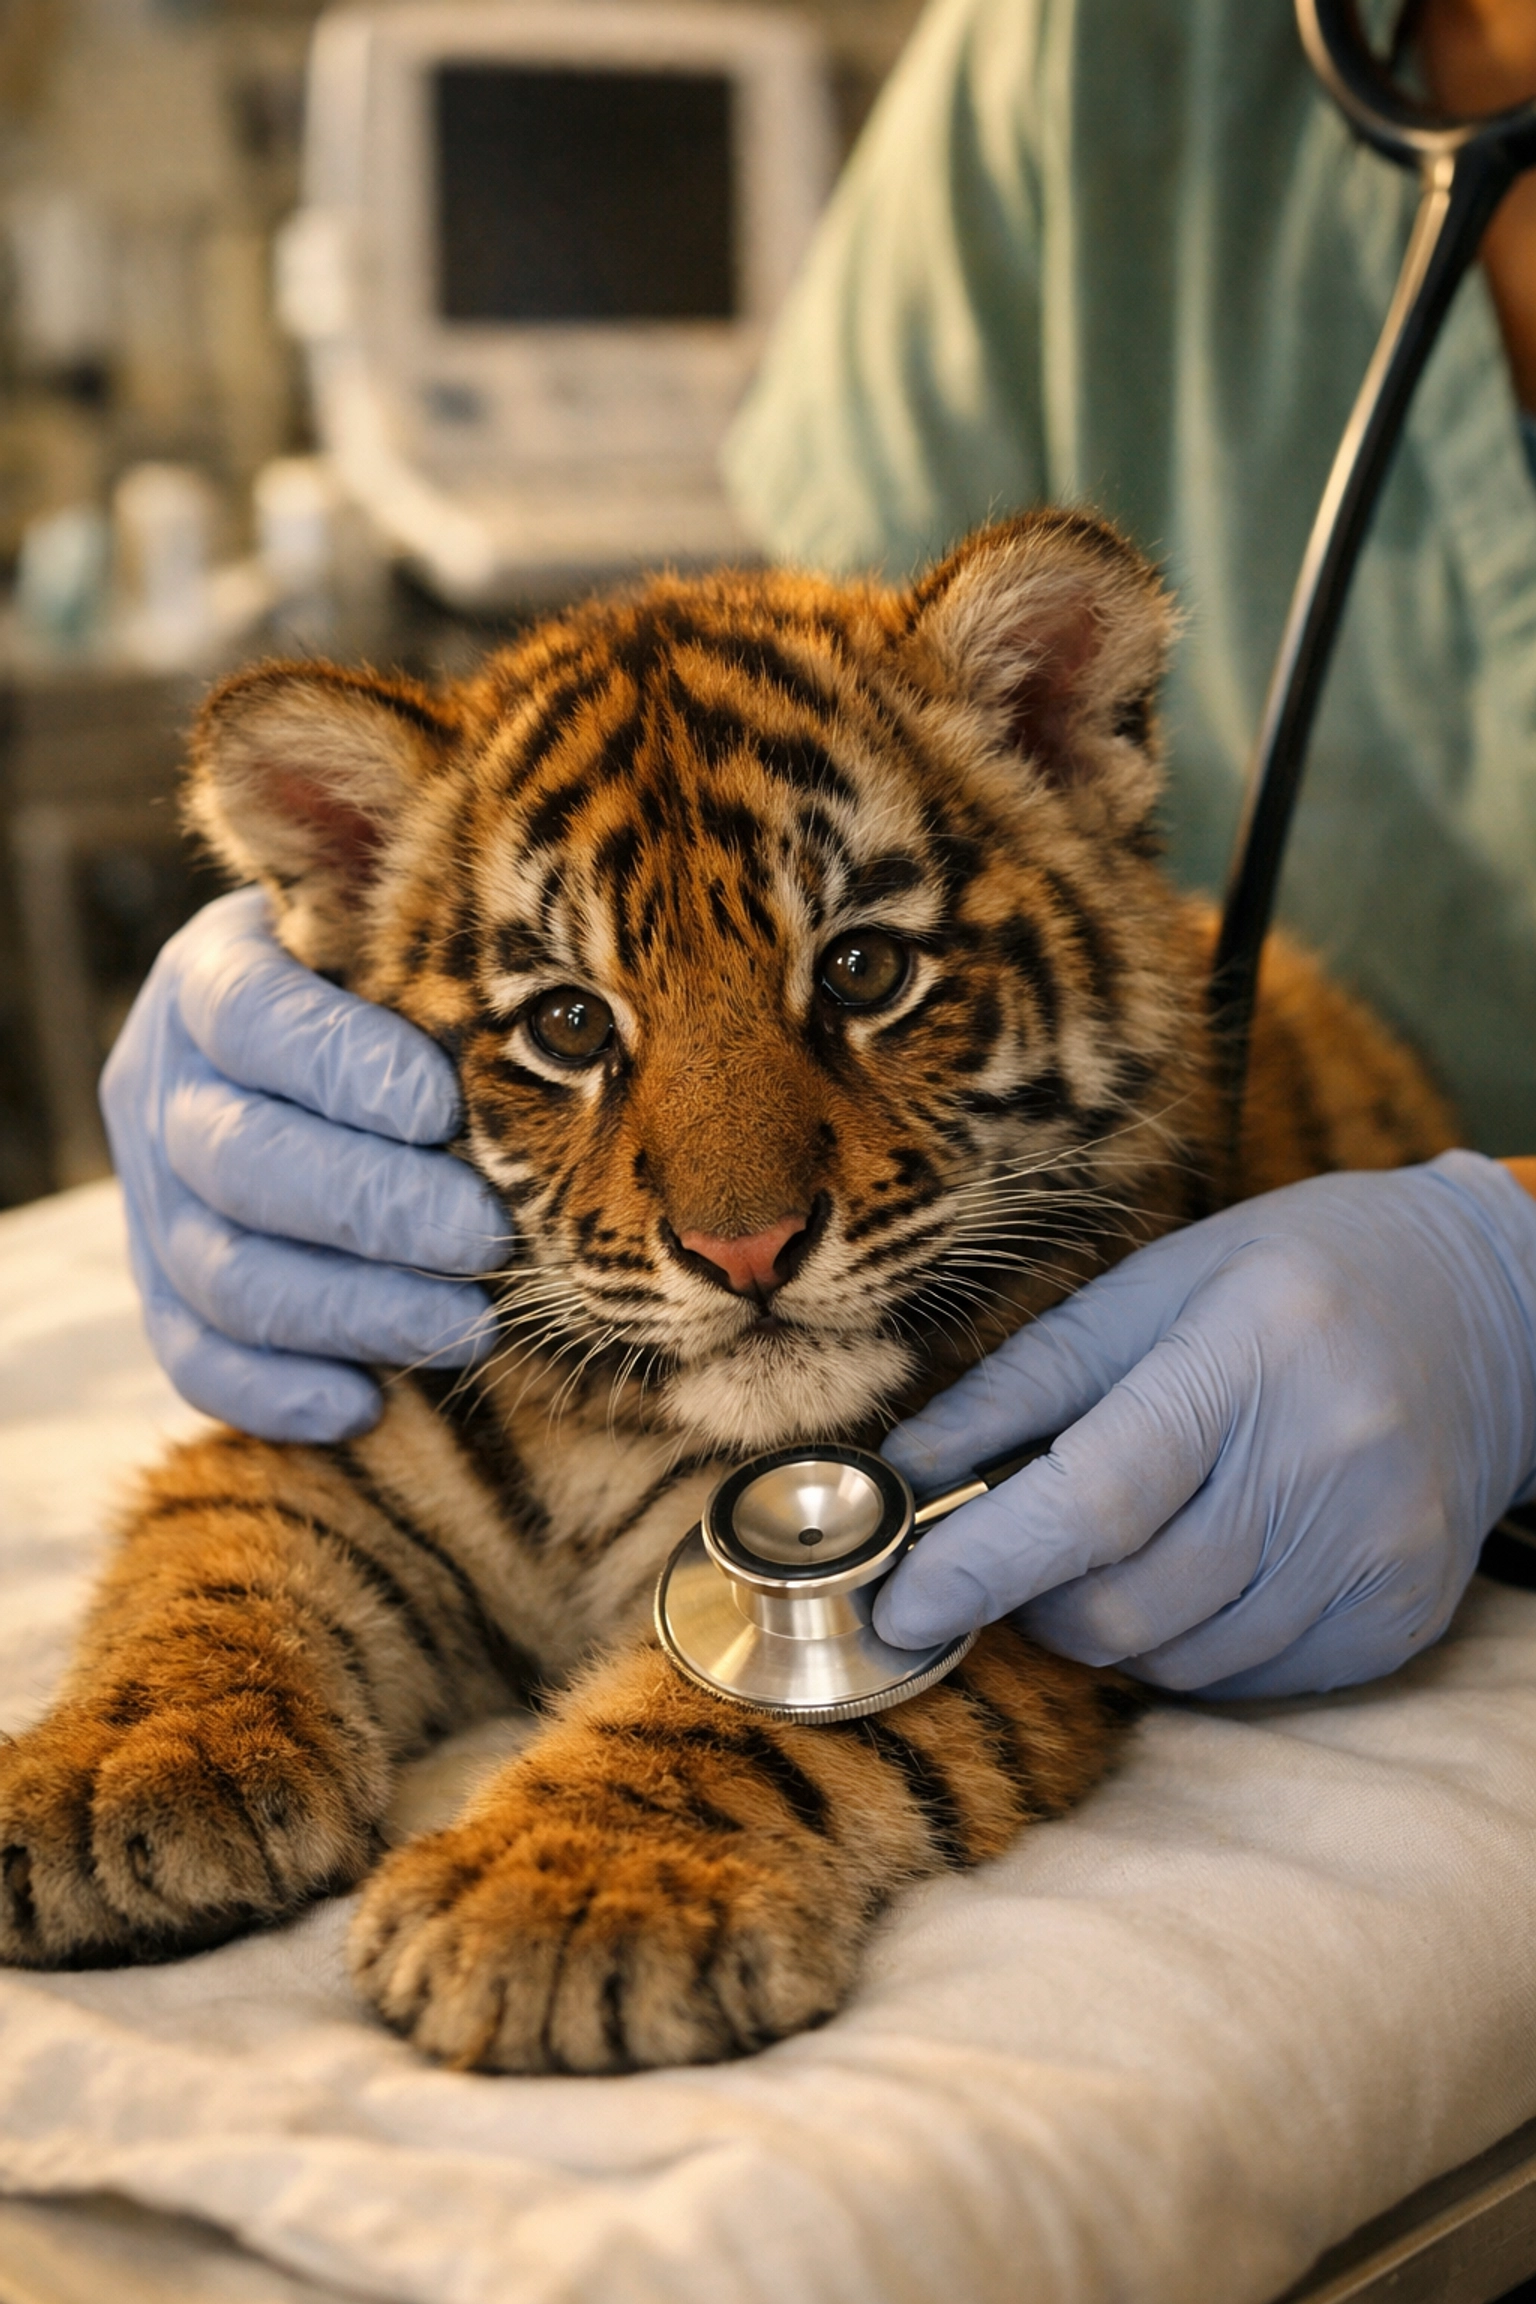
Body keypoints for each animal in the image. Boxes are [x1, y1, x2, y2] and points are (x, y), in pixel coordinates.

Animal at [0, 511, 1454, 2073]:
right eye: (571, 1023)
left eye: (864, 969)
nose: (745, 1249)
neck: (616, 1426)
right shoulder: (328, 1432)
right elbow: (210, 1577)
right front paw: (110, 1781)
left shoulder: (1013, 1534)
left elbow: (725, 1719)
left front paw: (564, 1895)